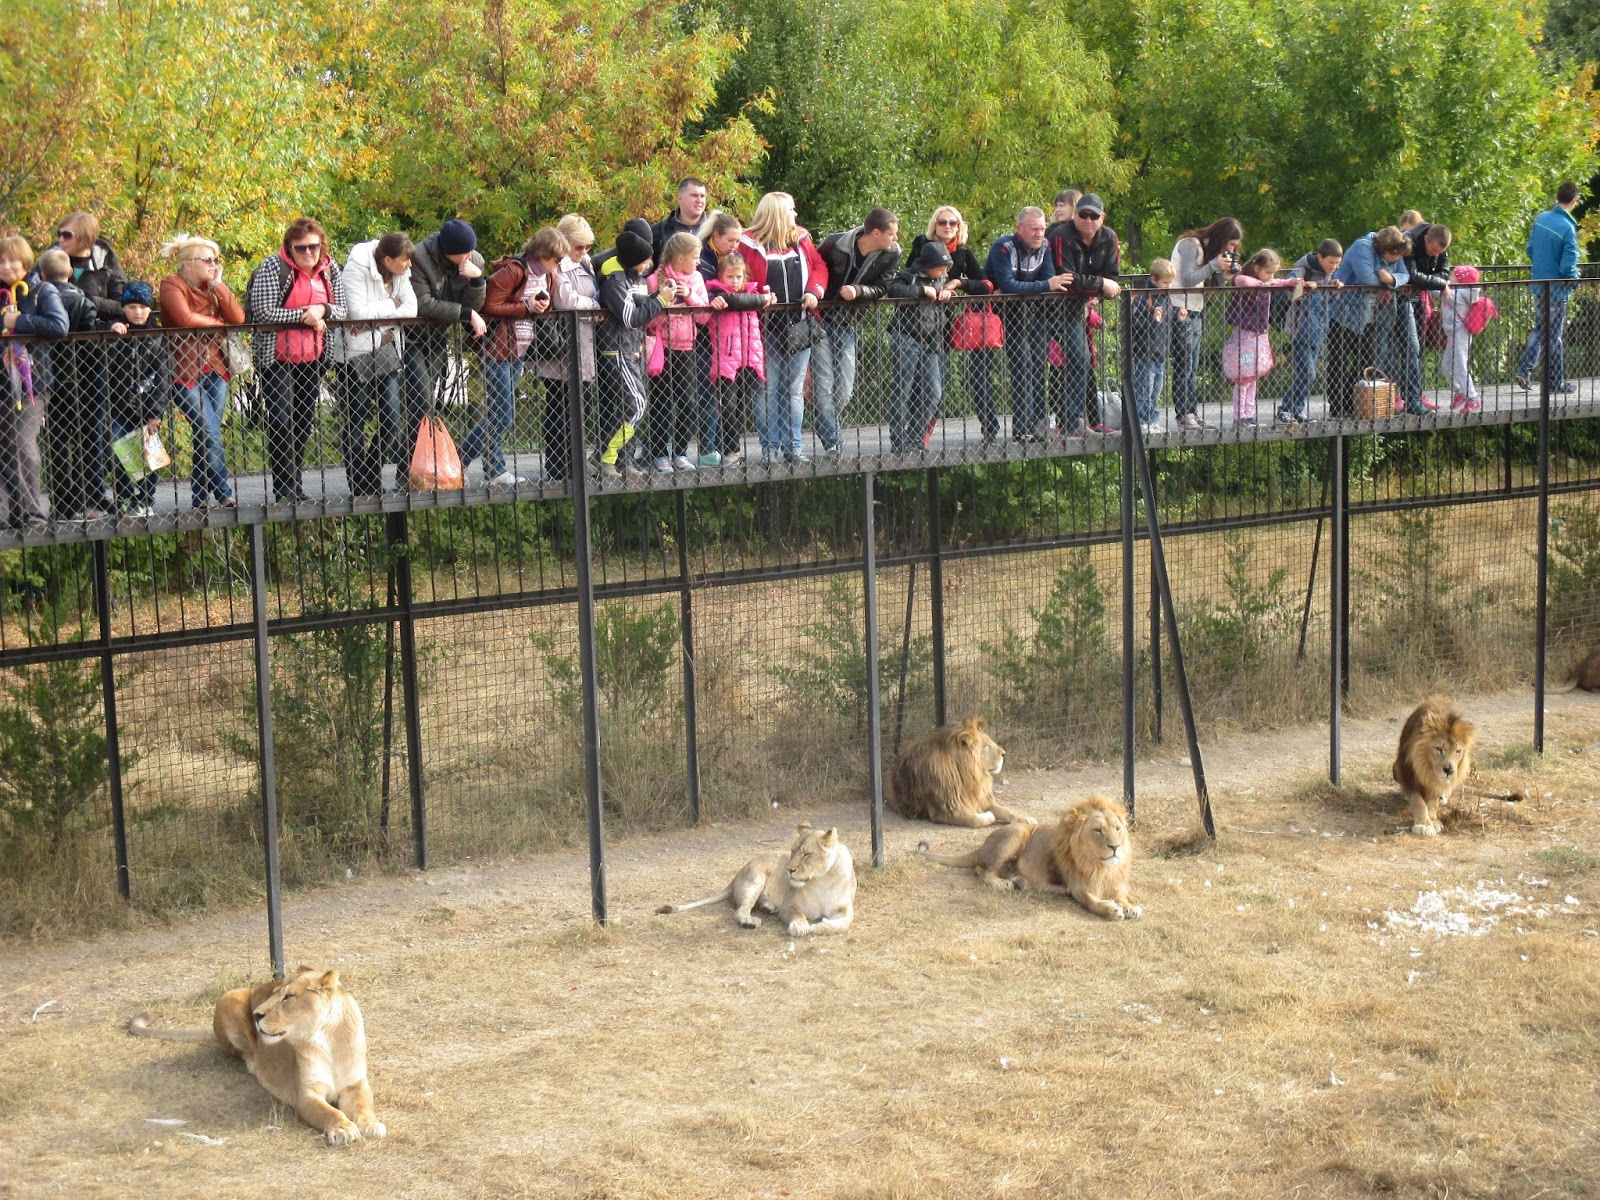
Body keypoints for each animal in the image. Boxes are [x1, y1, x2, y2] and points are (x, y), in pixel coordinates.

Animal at [128, 966, 384, 1152]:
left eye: (289, 997)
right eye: (276, 993)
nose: (256, 1014)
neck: (326, 1039)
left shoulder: (355, 1085)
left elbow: (364, 1106)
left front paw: (371, 1125)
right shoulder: (306, 1094)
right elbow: (328, 1112)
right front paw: (343, 1130)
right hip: (230, 996)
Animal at [656, 825, 857, 940]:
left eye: (807, 854)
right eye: (792, 851)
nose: (789, 870)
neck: (822, 879)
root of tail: (735, 877)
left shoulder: (844, 907)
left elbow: (845, 922)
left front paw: (821, 926)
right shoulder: (789, 905)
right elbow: (798, 914)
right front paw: (801, 927)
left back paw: (768, 907)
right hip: (755, 879)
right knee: (740, 911)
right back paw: (749, 921)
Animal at [883, 720, 1030, 832]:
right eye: (987, 746)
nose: (1004, 753)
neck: (968, 776)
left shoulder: (980, 798)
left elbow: (1007, 811)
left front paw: (1027, 818)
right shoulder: (943, 811)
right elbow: (975, 820)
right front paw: (988, 816)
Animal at [915, 800, 1139, 921]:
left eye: (1117, 829)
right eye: (1098, 830)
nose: (1115, 847)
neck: (1101, 865)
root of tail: (983, 845)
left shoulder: (1115, 882)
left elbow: (1122, 896)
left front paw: (1130, 907)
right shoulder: (1078, 887)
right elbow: (1092, 901)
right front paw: (1112, 910)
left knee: (981, 869)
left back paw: (1020, 882)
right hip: (1017, 834)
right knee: (985, 872)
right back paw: (1004, 884)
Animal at [1388, 694, 1472, 838]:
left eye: (1458, 751)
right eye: (1438, 749)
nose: (1449, 770)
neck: (1426, 769)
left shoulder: (1436, 783)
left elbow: (1432, 803)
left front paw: (1433, 820)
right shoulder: (1408, 774)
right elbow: (1419, 803)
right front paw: (1424, 825)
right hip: (1396, 768)